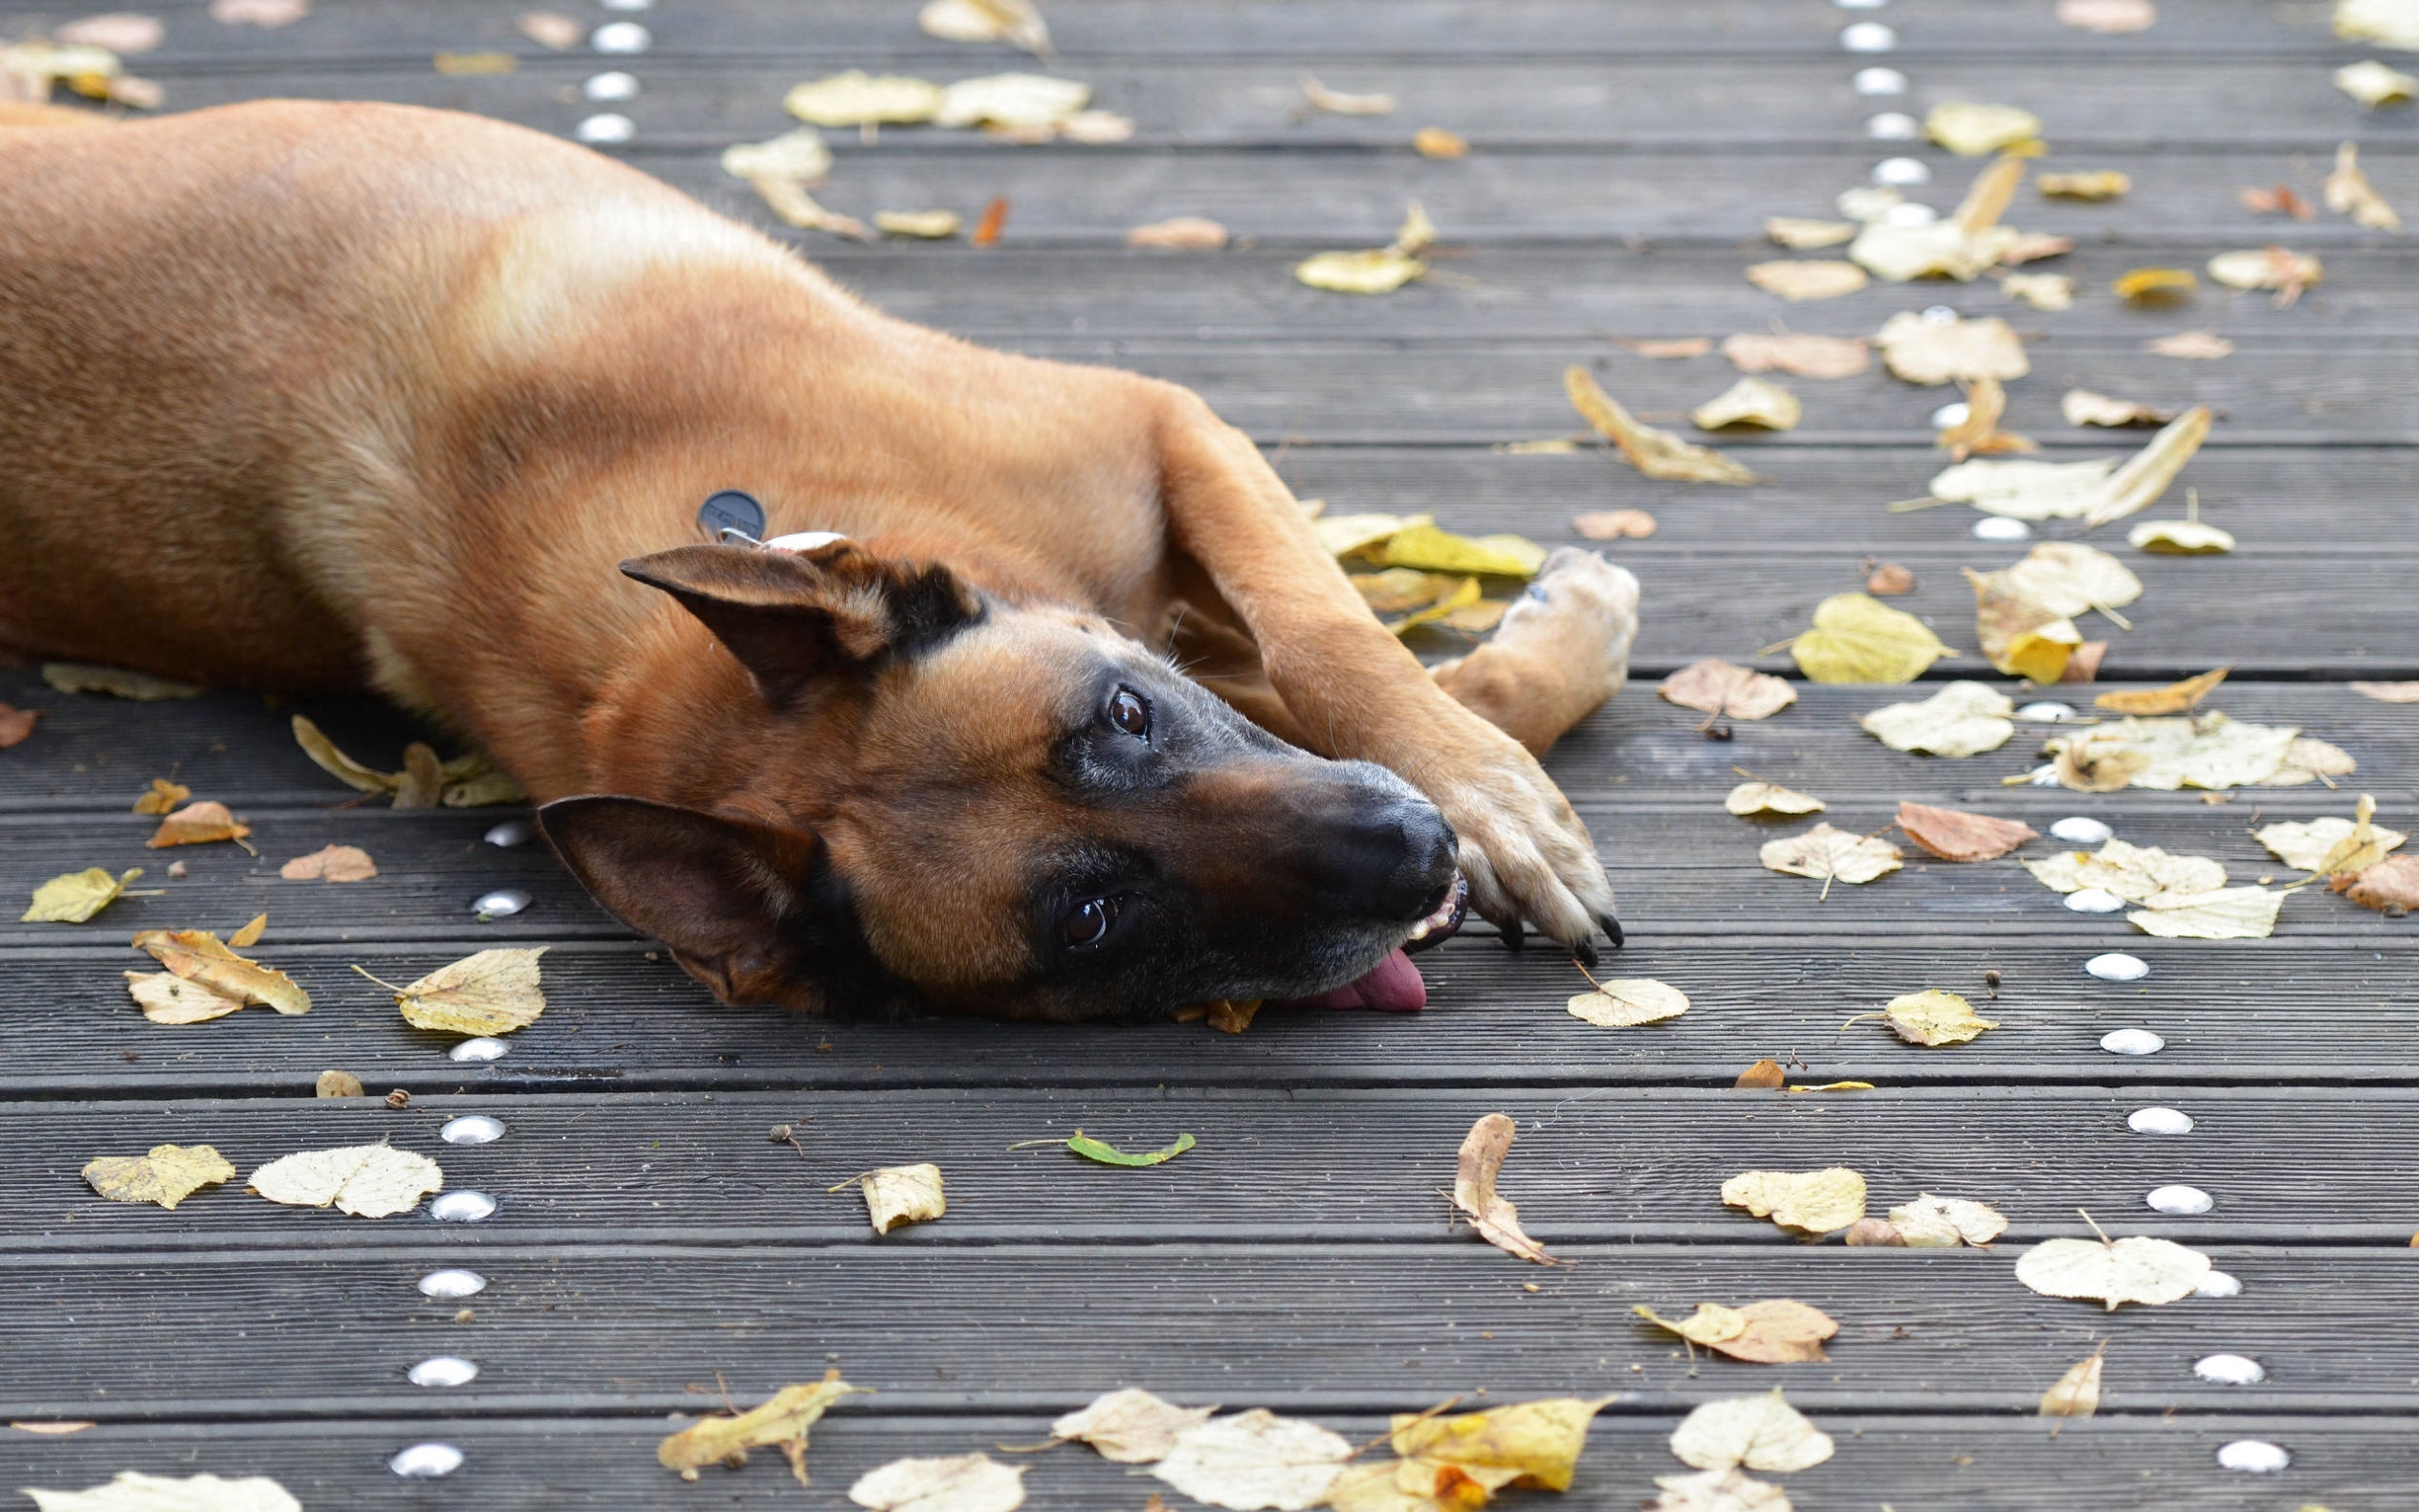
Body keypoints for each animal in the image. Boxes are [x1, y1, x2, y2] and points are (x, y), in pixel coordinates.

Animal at [0, 103, 1644, 1025]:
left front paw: (1498, 795)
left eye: (1121, 718)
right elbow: (1342, 659)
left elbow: (1329, 636)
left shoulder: (1159, 430)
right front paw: (1520, 726)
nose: (1408, 856)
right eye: (1093, 921)